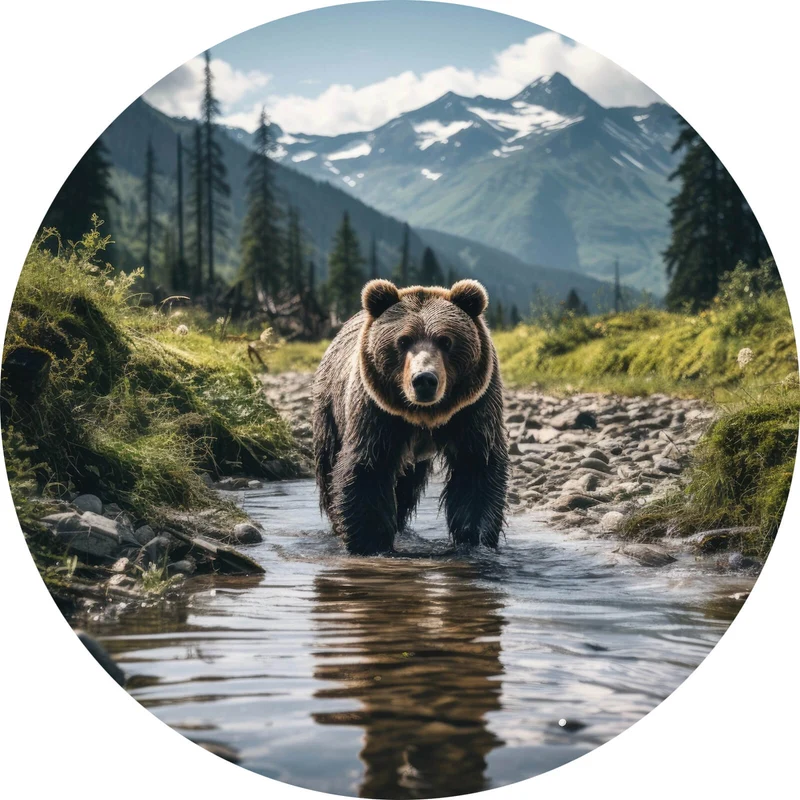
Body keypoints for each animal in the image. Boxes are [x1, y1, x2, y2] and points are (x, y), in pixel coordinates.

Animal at [312, 278, 509, 555]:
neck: (424, 416)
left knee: (406, 485)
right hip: (330, 407)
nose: (424, 379)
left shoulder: (474, 408)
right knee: (329, 464)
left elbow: (476, 468)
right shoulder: (376, 412)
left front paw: (476, 541)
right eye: (403, 341)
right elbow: (368, 468)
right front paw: (371, 544)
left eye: (445, 341)